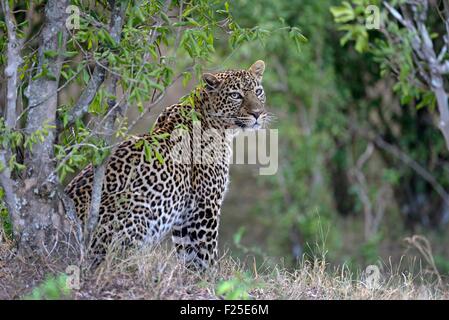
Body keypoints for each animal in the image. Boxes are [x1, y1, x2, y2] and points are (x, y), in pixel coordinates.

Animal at [64, 60, 270, 270]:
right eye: (235, 95)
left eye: (258, 91)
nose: (257, 113)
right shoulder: (204, 207)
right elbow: (206, 255)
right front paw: (213, 278)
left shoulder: (184, 218)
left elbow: (188, 256)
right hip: (137, 209)